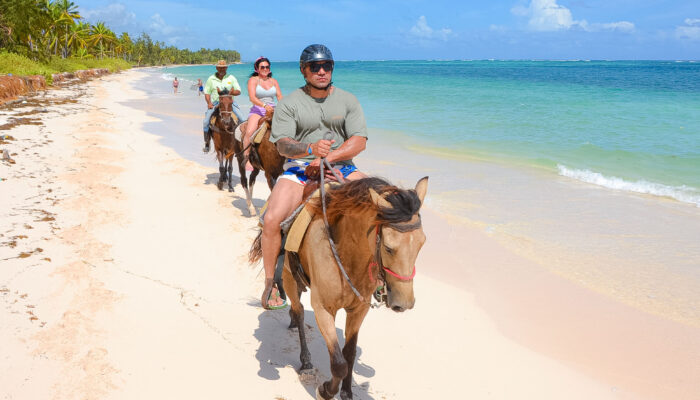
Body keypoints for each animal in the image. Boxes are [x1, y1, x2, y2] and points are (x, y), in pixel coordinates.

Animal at [249, 177, 430, 400]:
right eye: (388, 248)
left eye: (422, 243)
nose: (404, 303)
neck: (346, 255)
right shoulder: (323, 309)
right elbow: (338, 363)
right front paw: (325, 390)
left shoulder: (359, 310)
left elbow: (349, 353)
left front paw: (347, 392)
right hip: (288, 276)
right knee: (299, 311)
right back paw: (305, 359)